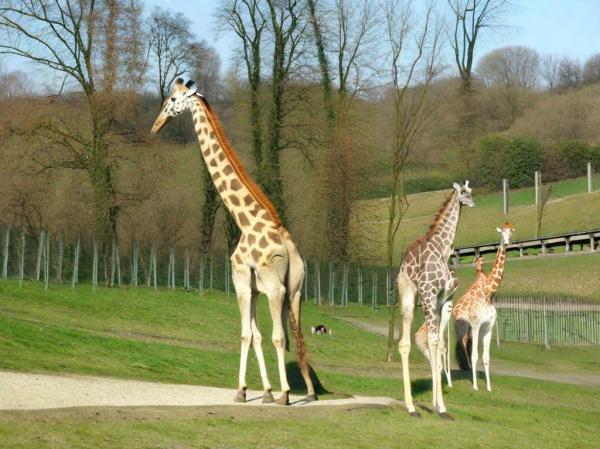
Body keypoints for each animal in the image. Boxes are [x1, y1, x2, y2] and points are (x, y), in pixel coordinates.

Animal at [152, 79, 316, 404]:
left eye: (173, 100)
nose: (157, 124)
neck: (244, 219)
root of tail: (289, 251)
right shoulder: (252, 287)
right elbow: (256, 335)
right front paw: (264, 391)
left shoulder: (241, 279)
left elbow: (246, 334)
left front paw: (244, 390)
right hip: (295, 290)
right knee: (297, 337)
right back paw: (310, 391)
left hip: (278, 289)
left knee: (281, 336)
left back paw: (287, 394)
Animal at [396, 181, 476, 416]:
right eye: (464, 193)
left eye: (471, 192)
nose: (472, 203)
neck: (442, 246)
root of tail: (404, 270)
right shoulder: (437, 295)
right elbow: (435, 341)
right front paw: (438, 404)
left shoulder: (445, 298)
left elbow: (439, 343)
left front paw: (437, 401)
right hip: (425, 295)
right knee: (426, 339)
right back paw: (426, 406)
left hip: (408, 296)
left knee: (404, 342)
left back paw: (411, 406)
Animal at [454, 223, 516, 388]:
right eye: (502, 233)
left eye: (511, 233)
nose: (506, 243)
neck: (488, 294)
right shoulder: (476, 324)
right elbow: (475, 355)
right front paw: (475, 386)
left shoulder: (489, 325)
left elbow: (486, 357)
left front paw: (488, 387)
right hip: (462, 327)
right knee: (463, 346)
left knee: (467, 345)